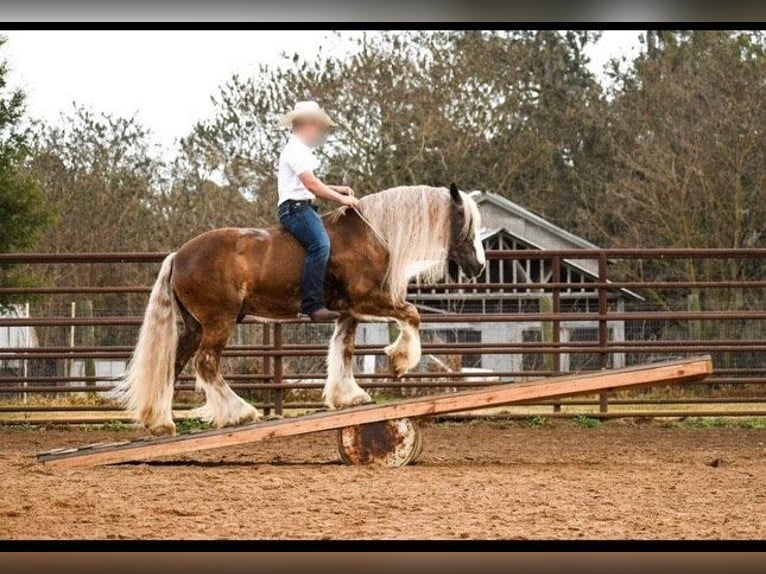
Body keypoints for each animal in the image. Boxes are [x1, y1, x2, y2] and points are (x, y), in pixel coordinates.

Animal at [114, 184, 486, 436]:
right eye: (463, 220)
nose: (480, 266)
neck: (371, 235)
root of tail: (178, 256)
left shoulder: (348, 312)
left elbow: (344, 350)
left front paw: (348, 397)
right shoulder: (368, 300)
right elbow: (411, 314)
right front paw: (399, 361)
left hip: (195, 326)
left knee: (173, 364)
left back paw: (160, 423)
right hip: (219, 322)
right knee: (206, 364)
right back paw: (240, 413)